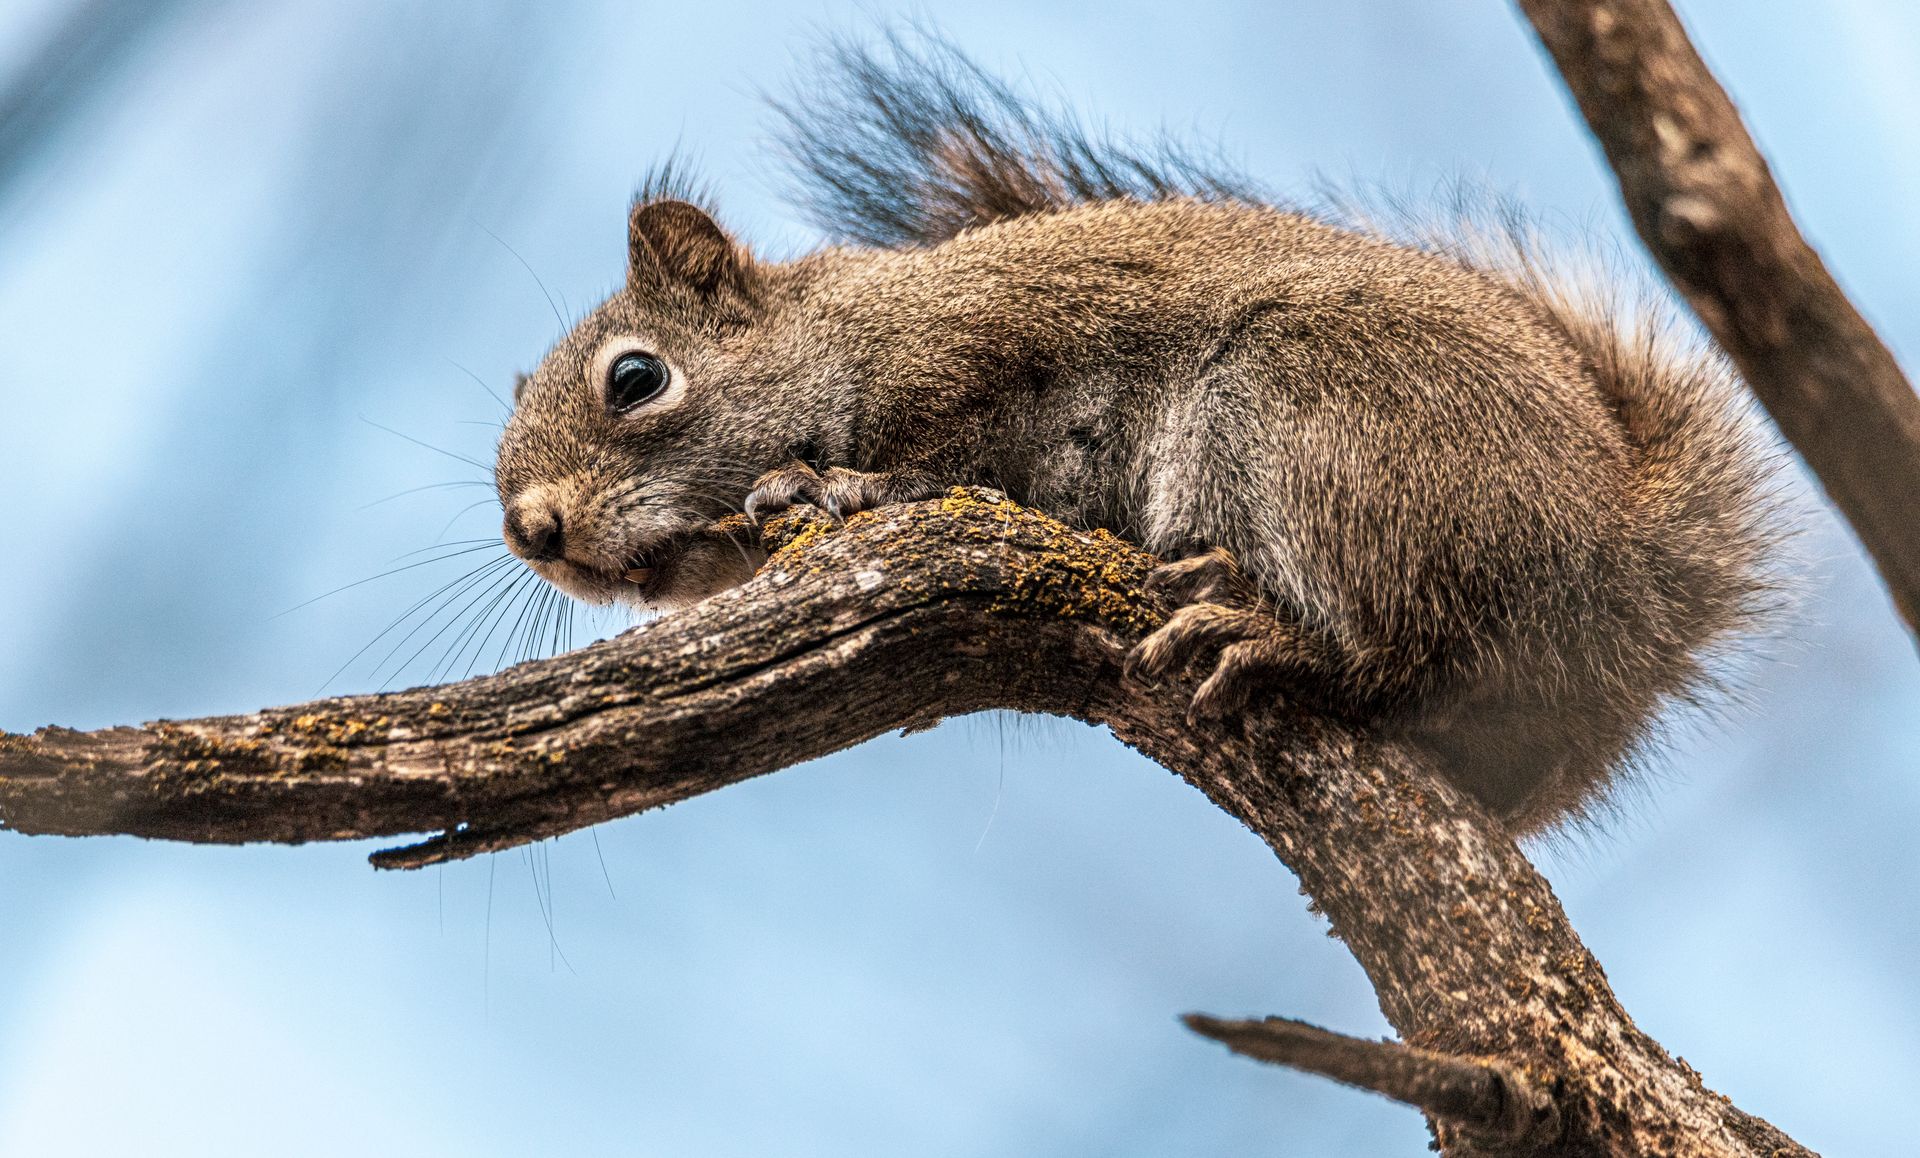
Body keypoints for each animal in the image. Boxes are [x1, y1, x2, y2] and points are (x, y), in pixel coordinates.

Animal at [490, 36, 1784, 835]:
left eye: (637, 379)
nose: (533, 532)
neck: (850, 326)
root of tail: (1620, 568)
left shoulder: (987, 346)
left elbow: (943, 450)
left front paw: (846, 487)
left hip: (1318, 420)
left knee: (1404, 647)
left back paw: (1273, 631)